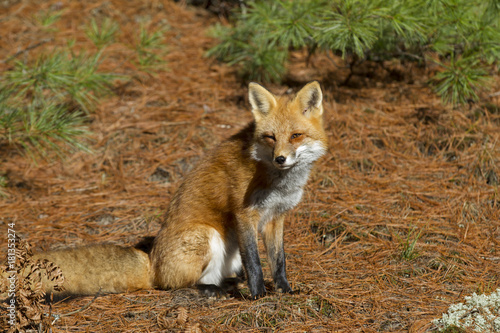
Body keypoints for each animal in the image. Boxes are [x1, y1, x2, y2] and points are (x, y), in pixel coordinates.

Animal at [32, 80, 328, 298]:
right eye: (270, 137)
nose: (281, 159)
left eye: (295, 136)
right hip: (207, 236)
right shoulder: (245, 214)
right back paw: (213, 290)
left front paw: (284, 290)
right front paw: (258, 295)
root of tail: (151, 262)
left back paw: (230, 284)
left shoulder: (276, 217)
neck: (276, 180)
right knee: (175, 284)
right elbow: (255, 262)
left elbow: (279, 261)